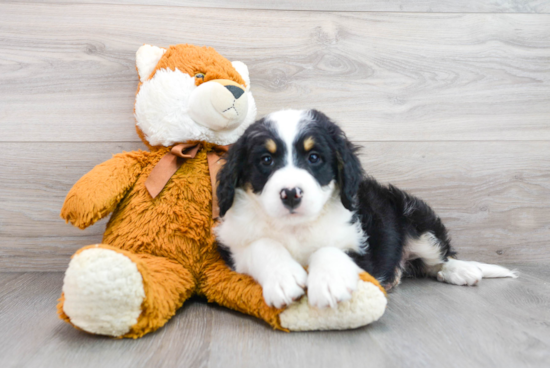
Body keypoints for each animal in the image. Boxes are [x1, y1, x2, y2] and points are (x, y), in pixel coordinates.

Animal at [215, 110, 516, 310]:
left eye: (314, 158)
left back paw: (461, 270)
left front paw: (329, 282)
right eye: (266, 160)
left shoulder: (363, 250)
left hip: (416, 219)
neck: (295, 227)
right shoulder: (231, 248)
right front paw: (283, 277)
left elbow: (329, 248)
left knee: (438, 256)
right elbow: (261, 245)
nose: (290, 194)